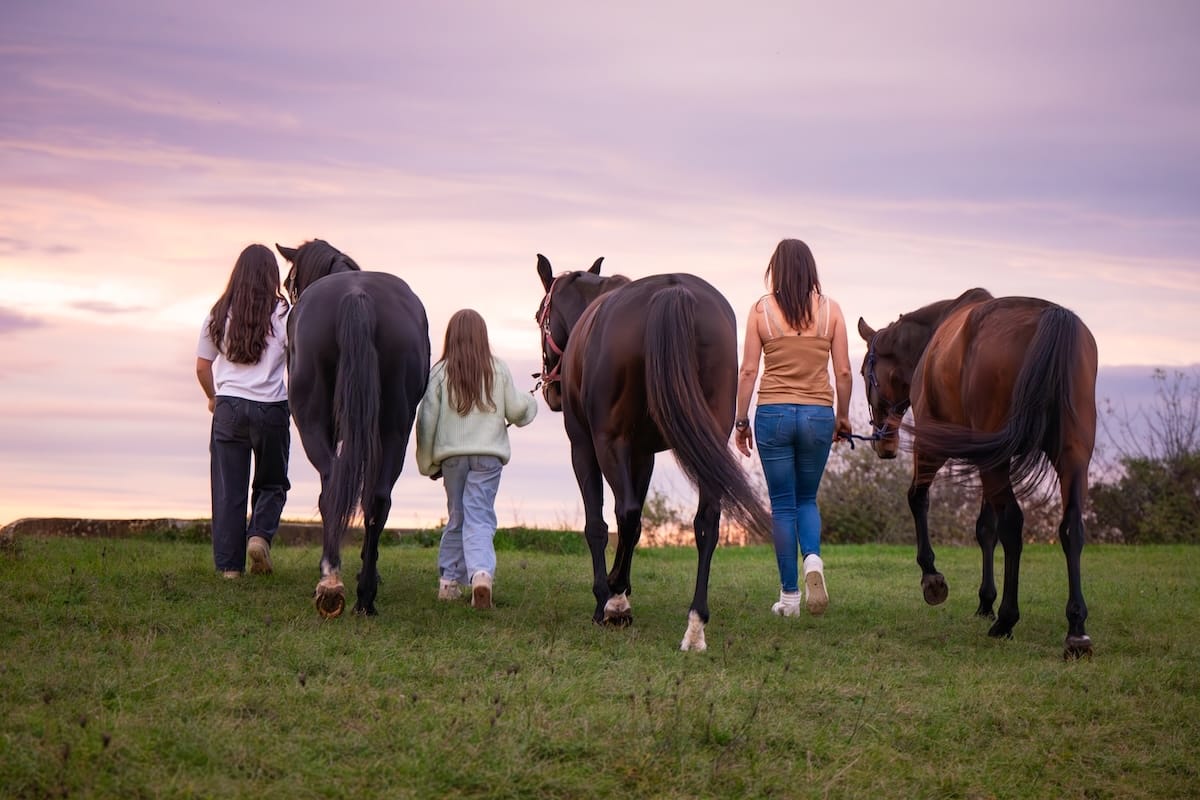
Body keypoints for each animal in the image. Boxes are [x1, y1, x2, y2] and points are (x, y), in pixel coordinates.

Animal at [276, 240, 430, 617]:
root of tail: (356, 296)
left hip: (311, 421)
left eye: (288, 281)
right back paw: (365, 595)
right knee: (378, 498)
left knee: (331, 487)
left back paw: (330, 582)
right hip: (396, 428)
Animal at [534, 254, 771, 651]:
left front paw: (607, 597)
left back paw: (614, 602)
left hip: (608, 443)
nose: (552, 391)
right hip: (707, 443)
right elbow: (639, 526)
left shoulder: (585, 447)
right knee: (706, 522)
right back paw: (695, 623)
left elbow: (600, 524)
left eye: (540, 314)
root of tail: (674, 293)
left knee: (625, 512)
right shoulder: (643, 455)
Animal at [857, 288, 1098, 658]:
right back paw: (1076, 629)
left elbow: (917, 499)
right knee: (1070, 528)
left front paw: (932, 577)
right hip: (1071, 460)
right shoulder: (991, 458)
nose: (883, 443)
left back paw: (1007, 619)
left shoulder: (934, 446)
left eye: (862, 373)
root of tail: (1054, 317)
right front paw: (985, 601)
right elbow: (985, 529)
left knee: (1013, 524)